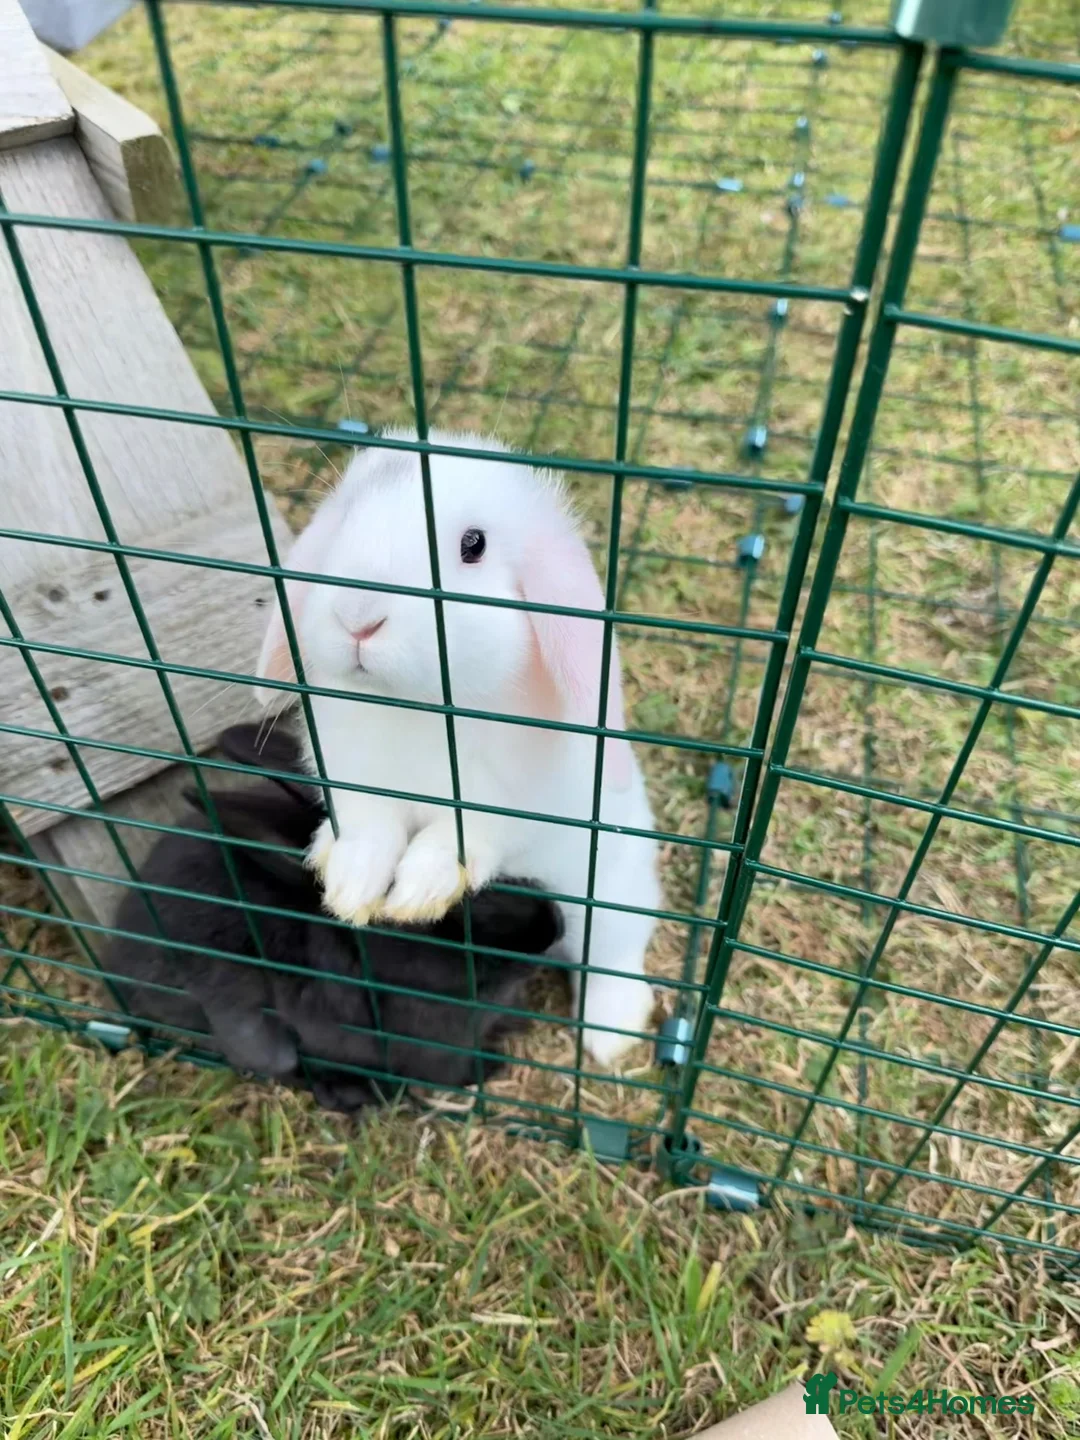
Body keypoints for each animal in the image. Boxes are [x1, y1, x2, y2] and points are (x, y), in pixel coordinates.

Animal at [253, 430, 662, 1066]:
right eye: (343, 521)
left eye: (474, 546)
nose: (357, 616)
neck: (418, 706)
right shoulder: (353, 780)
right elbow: (369, 830)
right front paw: (350, 887)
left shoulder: (517, 808)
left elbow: (465, 837)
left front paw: (419, 889)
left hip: (611, 896)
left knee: (611, 957)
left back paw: (611, 1035)